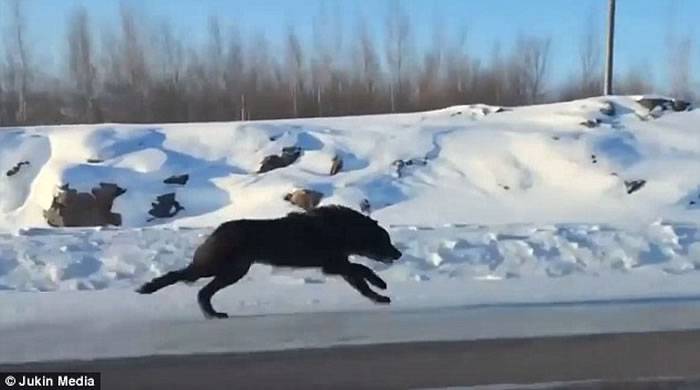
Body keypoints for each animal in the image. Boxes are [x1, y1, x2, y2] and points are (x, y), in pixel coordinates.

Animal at [137, 206, 402, 318]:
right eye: (385, 240)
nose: (398, 254)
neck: (344, 229)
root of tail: (219, 230)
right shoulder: (332, 263)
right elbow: (361, 269)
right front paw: (381, 283)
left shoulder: (338, 263)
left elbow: (360, 281)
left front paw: (379, 296)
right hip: (217, 265)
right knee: (182, 275)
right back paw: (148, 287)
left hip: (235, 270)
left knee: (204, 291)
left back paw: (213, 313)